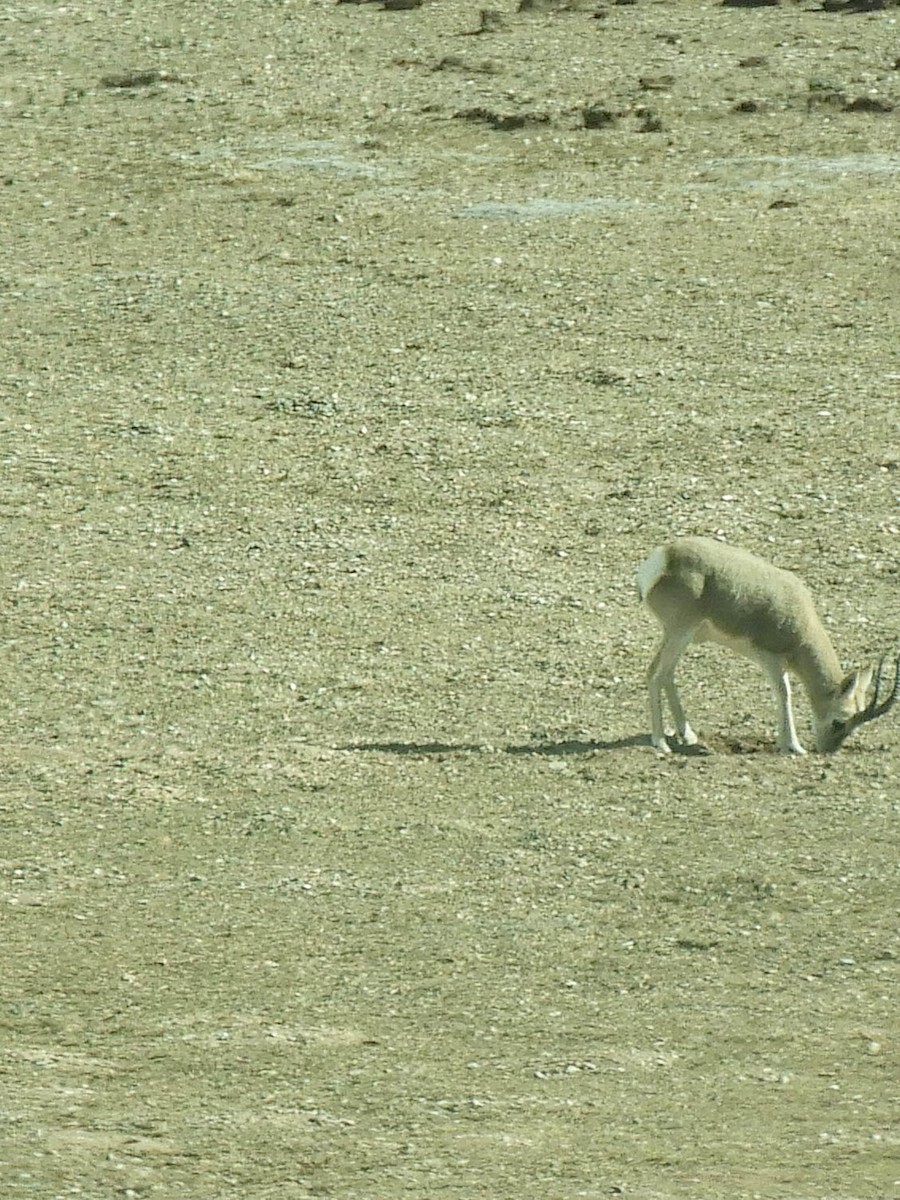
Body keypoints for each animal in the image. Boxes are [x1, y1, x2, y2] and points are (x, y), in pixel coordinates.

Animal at [636, 536, 899, 755]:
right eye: (839, 721)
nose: (827, 751)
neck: (799, 619)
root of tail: (666, 555)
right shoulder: (769, 657)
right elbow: (784, 692)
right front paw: (793, 747)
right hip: (679, 633)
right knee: (654, 673)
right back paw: (660, 742)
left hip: (683, 637)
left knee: (667, 674)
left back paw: (688, 735)